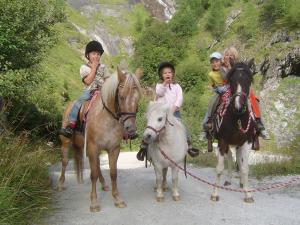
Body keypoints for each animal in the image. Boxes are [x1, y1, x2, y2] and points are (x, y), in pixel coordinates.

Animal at [58, 67, 143, 212]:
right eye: (121, 97)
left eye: (138, 98)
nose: (130, 129)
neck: (106, 118)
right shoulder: (93, 147)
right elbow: (93, 175)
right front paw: (94, 203)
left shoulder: (113, 149)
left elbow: (113, 173)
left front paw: (117, 199)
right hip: (66, 142)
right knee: (64, 162)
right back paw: (61, 184)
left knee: (97, 166)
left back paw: (103, 184)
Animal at [211, 60, 255, 203]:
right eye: (231, 80)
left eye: (249, 80)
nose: (238, 106)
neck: (238, 117)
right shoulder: (222, 141)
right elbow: (219, 168)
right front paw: (215, 194)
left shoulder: (247, 142)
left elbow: (245, 168)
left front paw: (248, 194)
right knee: (229, 157)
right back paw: (229, 181)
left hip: (238, 144)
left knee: (238, 161)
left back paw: (241, 183)